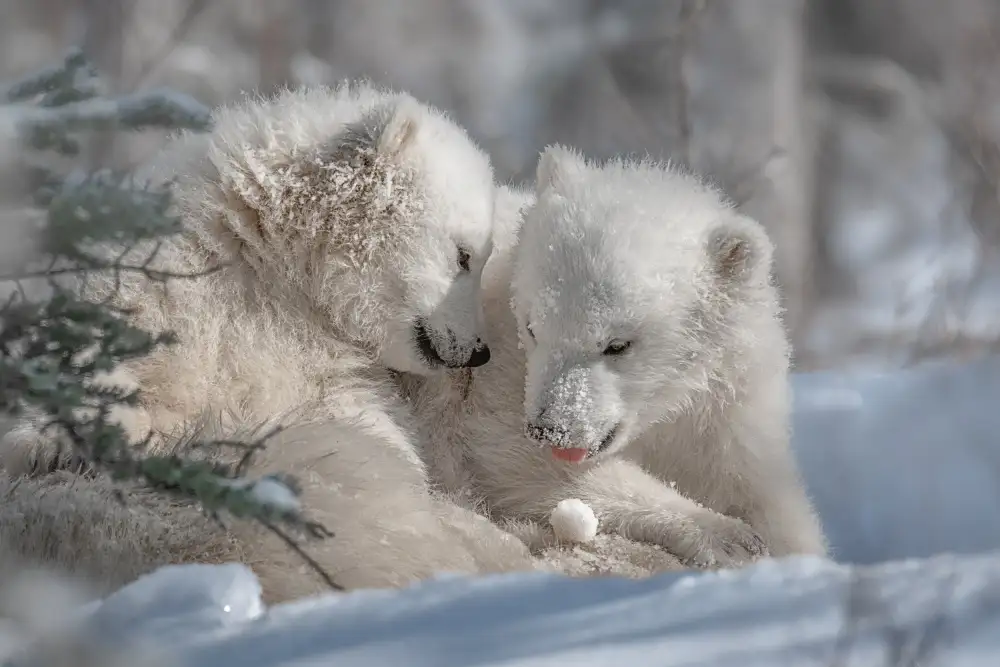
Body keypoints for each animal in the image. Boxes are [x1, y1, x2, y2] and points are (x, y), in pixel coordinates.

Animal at [0, 81, 542, 599]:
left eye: (479, 256)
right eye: (464, 254)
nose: (479, 351)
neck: (274, 270)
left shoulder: (325, 355)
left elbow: (368, 428)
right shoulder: (173, 278)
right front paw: (55, 441)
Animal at [408, 146, 828, 567]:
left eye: (617, 344)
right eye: (532, 328)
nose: (552, 429)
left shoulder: (724, 409)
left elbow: (758, 493)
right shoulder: (495, 379)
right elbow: (512, 457)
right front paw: (727, 536)